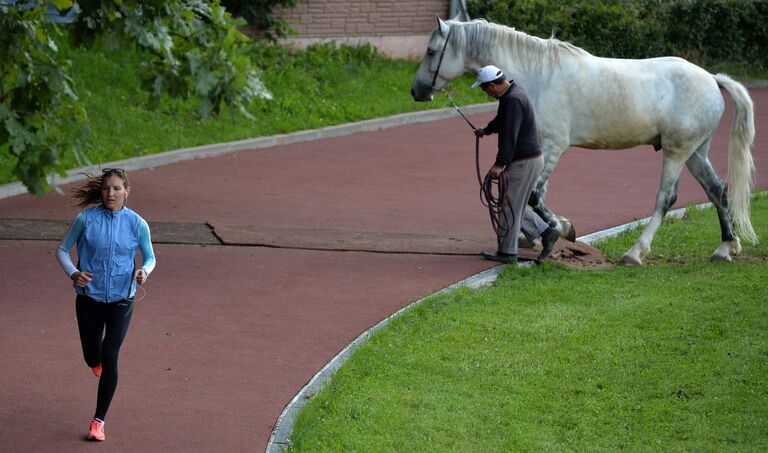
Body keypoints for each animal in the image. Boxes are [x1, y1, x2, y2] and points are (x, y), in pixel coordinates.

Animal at [412, 17, 760, 264]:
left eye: (431, 51)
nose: (416, 91)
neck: (537, 76)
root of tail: (712, 79)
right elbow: (521, 196)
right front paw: (533, 236)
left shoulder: (552, 147)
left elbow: (535, 195)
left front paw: (560, 230)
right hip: (696, 152)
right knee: (717, 190)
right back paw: (725, 248)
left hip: (677, 151)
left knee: (667, 198)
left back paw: (635, 253)